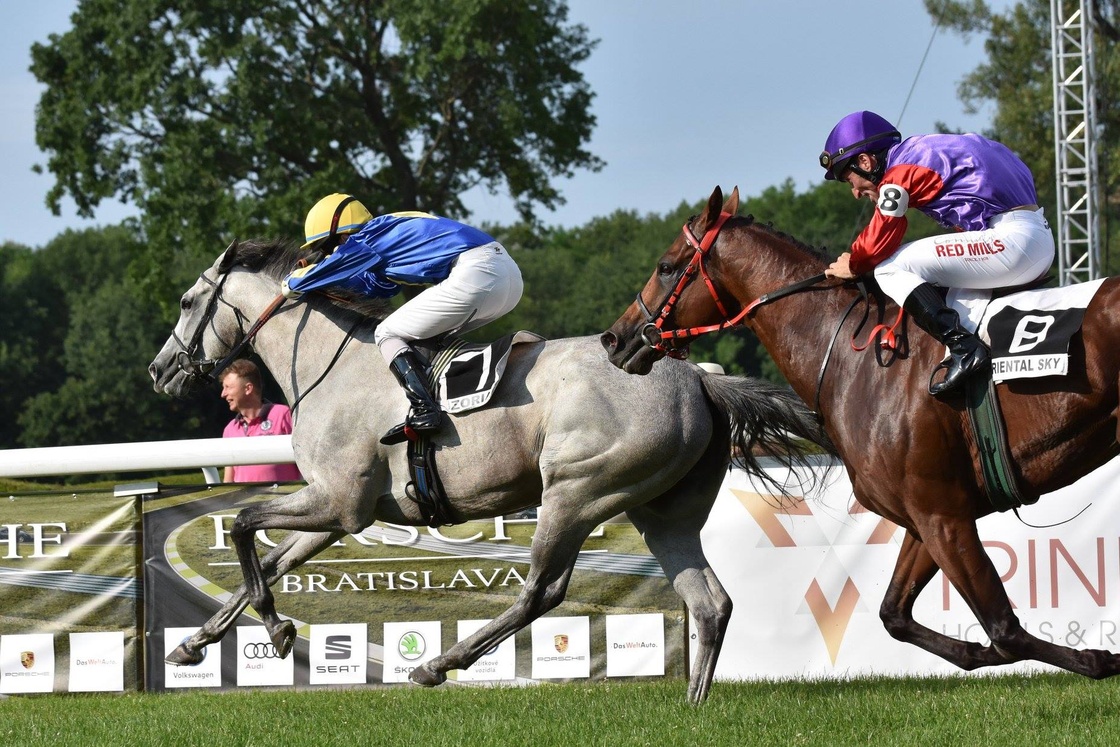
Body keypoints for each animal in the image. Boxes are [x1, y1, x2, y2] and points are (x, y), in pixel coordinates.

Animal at [147, 237, 832, 703]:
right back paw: (693, 704)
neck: (327, 366)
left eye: (185, 301)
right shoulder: (340, 511)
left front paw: (278, 628)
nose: (159, 370)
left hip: (576, 493)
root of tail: (698, 379)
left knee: (542, 591)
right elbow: (269, 559)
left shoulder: (339, 502)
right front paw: (194, 642)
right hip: (661, 512)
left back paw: (437, 664)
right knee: (709, 603)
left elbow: (243, 526)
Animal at [602, 185, 1120, 678]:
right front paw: (973, 651)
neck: (858, 361)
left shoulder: (942, 516)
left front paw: (1101, 659)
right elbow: (896, 615)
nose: (614, 338)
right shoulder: (930, 515)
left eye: (666, 267)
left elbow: (1005, 630)